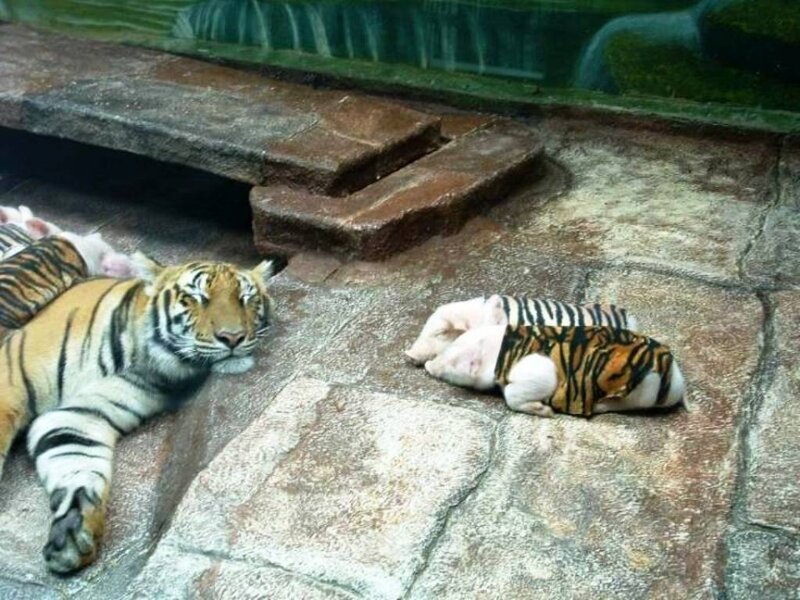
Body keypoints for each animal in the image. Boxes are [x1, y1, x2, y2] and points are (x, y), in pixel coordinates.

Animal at [0, 252, 275, 573]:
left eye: (246, 298)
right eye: (197, 297)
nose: (232, 338)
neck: (137, 353)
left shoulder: (80, 415)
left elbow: (77, 462)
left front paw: (75, 531)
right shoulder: (9, 385)